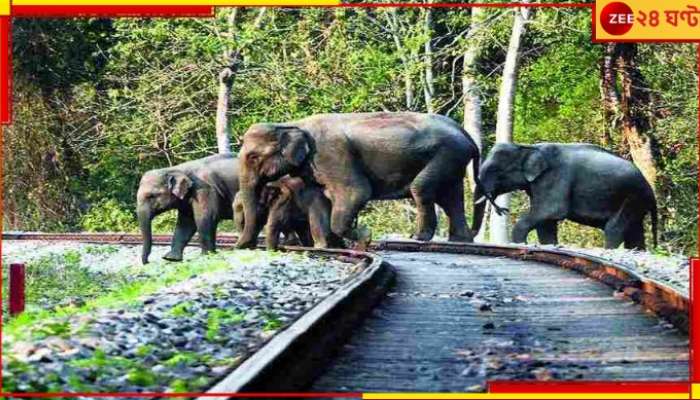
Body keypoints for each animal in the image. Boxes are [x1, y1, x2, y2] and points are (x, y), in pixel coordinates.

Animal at [235, 109, 486, 248]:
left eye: (253, 157)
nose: (241, 246)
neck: (294, 124)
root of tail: (466, 135)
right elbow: (321, 198)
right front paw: (332, 245)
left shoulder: (331, 154)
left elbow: (356, 192)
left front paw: (365, 237)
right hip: (452, 160)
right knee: (450, 197)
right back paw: (460, 241)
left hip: (446, 155)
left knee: (422, 189)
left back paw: (417, 237)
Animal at [478, 143, 660, 250]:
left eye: (496, 170)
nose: (503, 210)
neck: (528, 148)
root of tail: (651, 189)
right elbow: (546, 222)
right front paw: (550, 246)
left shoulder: (555, 178)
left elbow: (550, 210)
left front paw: (520, 244)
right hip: (636, 201)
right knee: (634, 230)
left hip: (632, 197)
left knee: (614, 228)